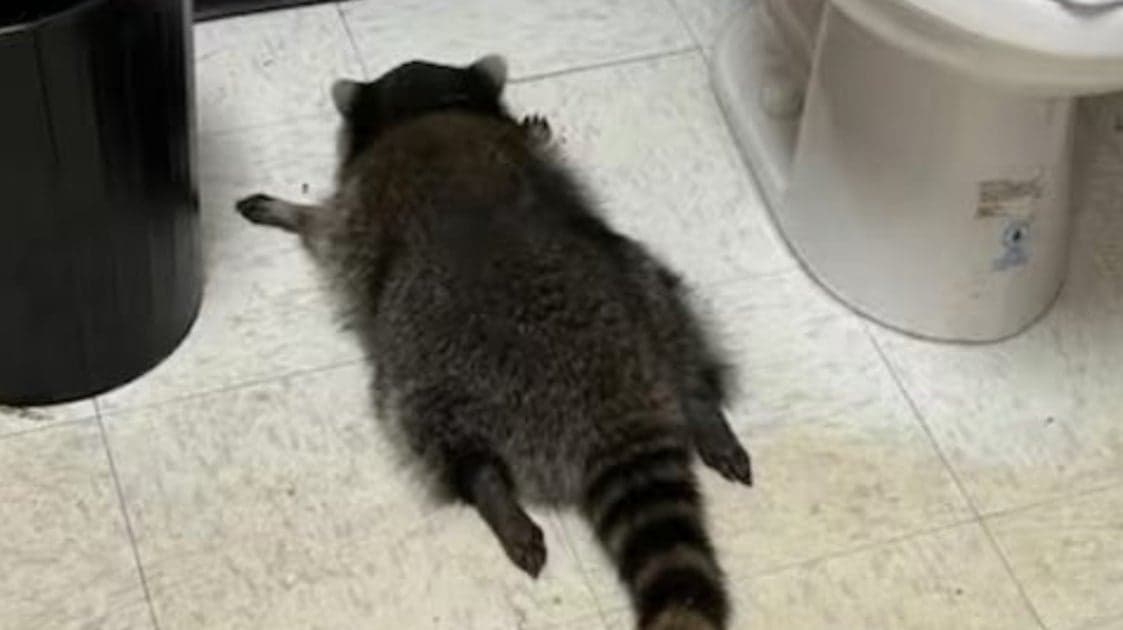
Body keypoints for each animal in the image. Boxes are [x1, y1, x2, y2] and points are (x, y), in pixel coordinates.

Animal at [235, 55, 753, 630]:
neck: (426, 107)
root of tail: (613, 405)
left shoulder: (358, 207)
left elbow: (326, 228)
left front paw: (292, 211)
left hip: (435, 367)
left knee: (430, 428)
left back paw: (489, 489)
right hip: (644, 290)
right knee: (676, 318)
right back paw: (701, 403)